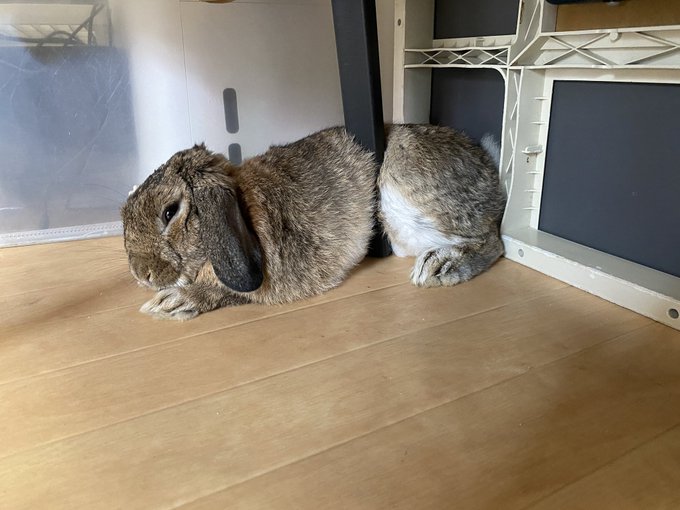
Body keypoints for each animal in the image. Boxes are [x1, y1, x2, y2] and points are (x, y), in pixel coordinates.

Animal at [121, 124, 505, 320]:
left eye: (170, 211)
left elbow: (226, 291)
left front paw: (171, 303)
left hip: (407, 182)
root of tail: (489, 164)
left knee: (493, 241)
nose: (142, 276)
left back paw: (441, 266)